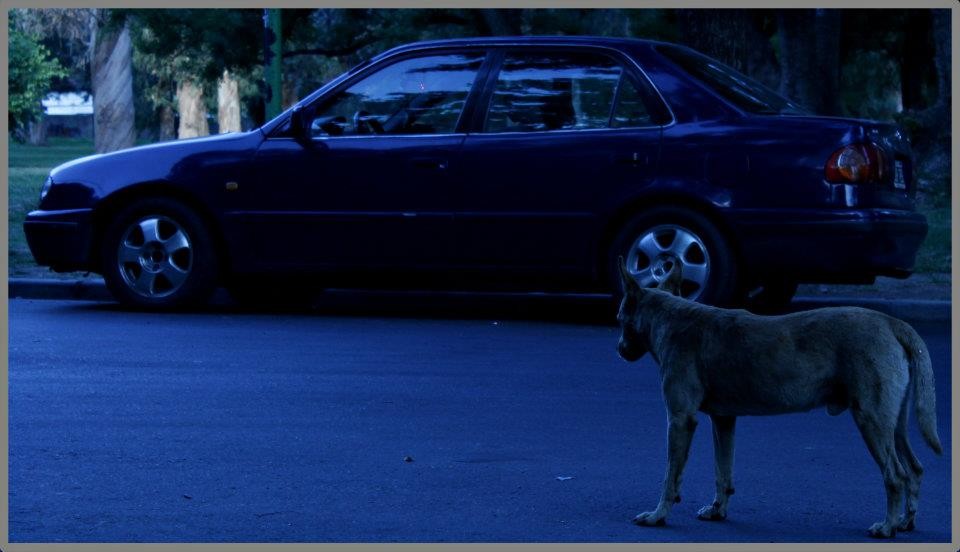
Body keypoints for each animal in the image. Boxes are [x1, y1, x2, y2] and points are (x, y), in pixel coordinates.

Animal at [620, 258, 940, 540]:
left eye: (620, 318)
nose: (619, 349)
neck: (670, 317)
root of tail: (891, 322)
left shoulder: (680, 420)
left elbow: (670, 476)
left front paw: (658, 515)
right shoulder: (724, 421)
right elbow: (723, 471)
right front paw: (718, 509)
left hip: (871, 421)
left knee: (895, 476)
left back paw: (887, 527)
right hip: (892, 425)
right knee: (915, 469)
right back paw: (905, 521)